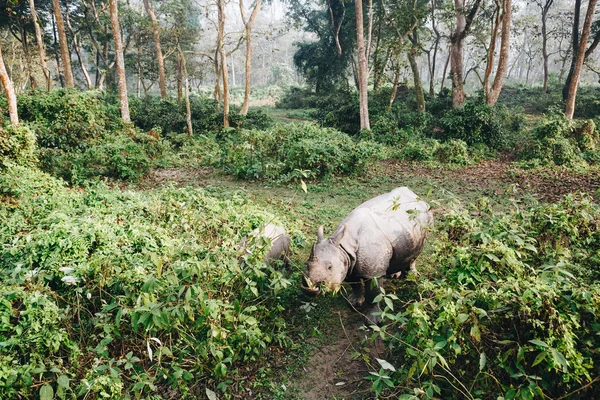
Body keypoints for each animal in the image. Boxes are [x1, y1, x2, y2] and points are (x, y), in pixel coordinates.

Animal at [302, 188, 434, 324]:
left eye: (329, 267)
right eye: (306, 264)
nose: (309, 286)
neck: (343, 246)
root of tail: (414, 194)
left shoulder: (373, 272)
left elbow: (374, 294)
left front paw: (373, 321)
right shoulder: (348, 260)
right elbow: (354, 284)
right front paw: (354, 303)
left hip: (427, 218)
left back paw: (411, 275)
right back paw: (394, 274)